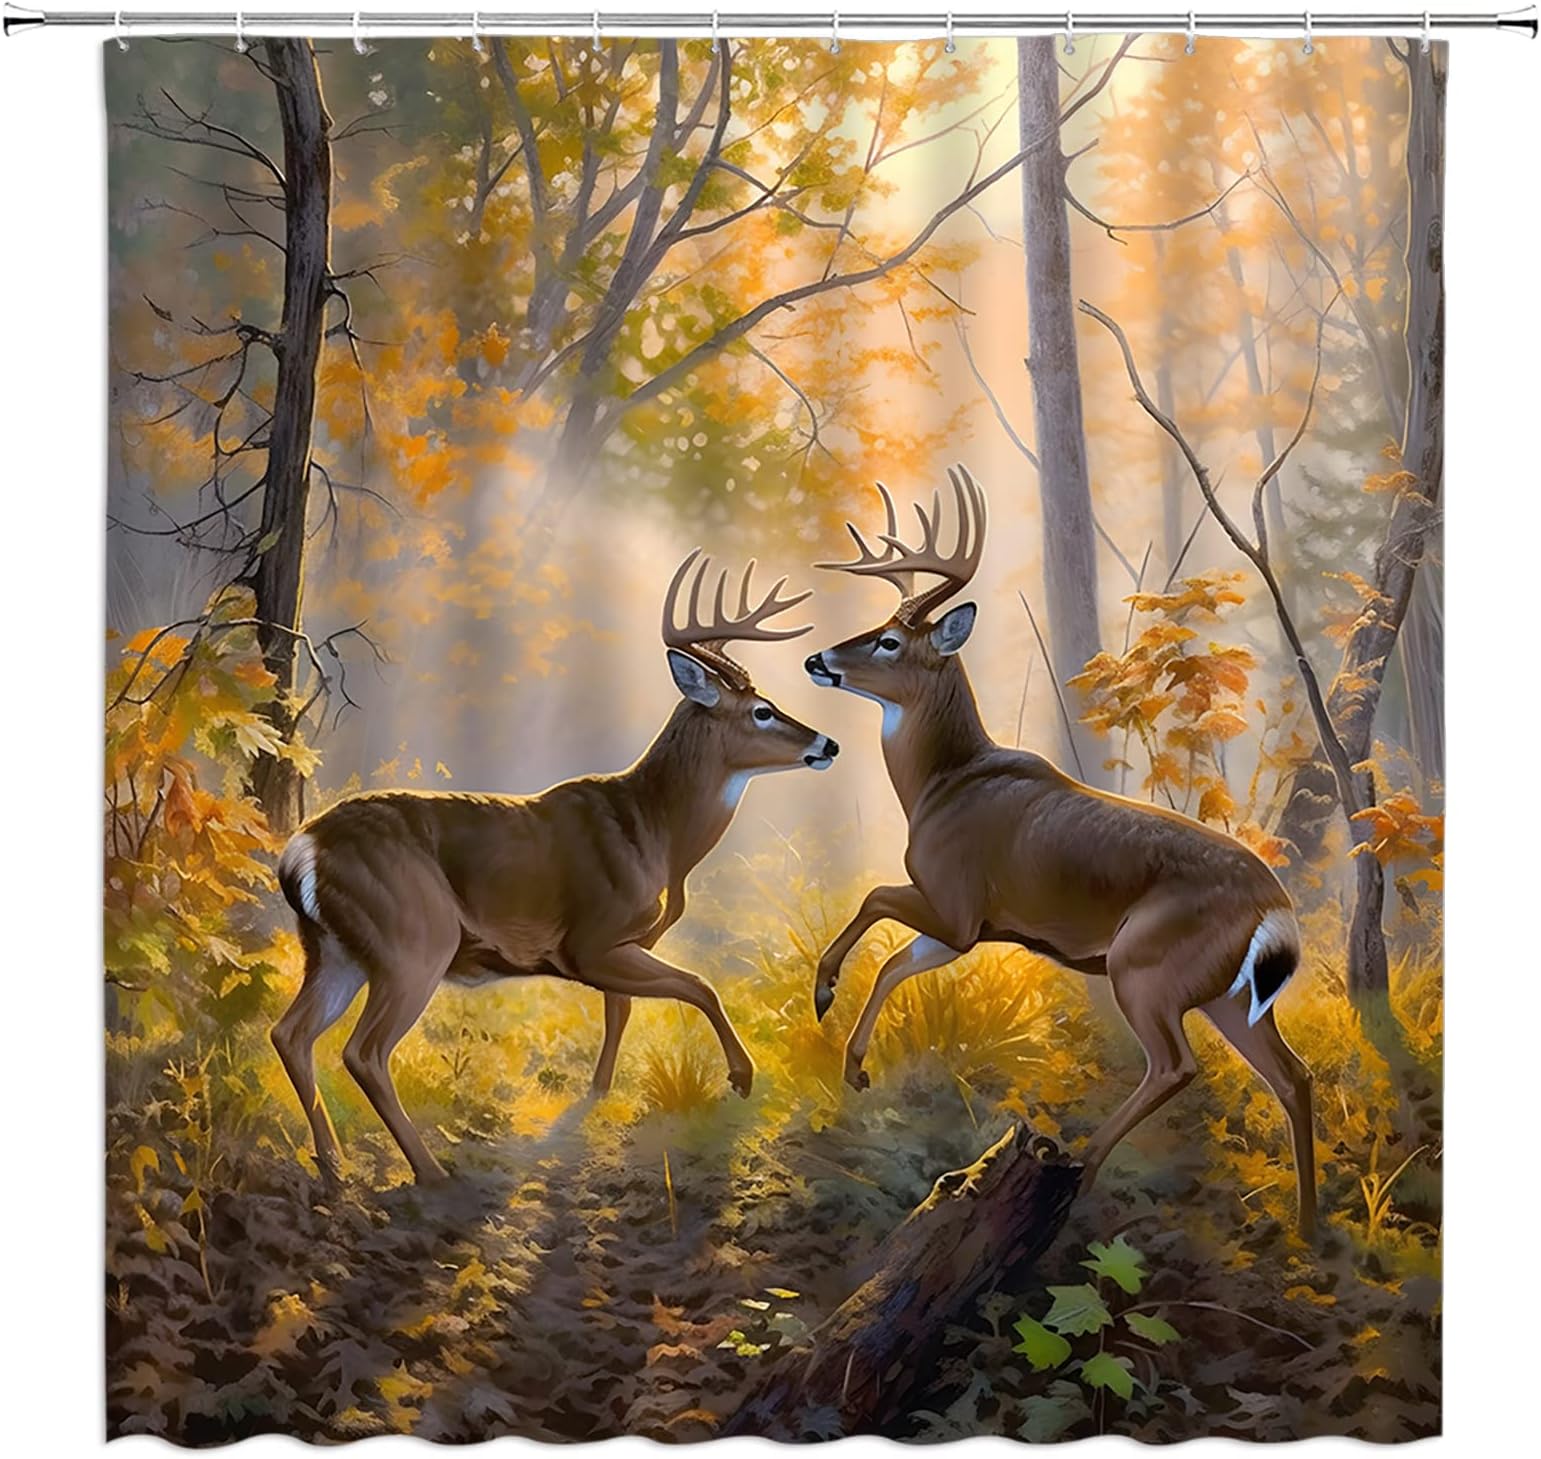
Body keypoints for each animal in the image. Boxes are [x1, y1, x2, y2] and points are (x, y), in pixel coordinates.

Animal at [271, 550, 838, 1187]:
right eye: (762, 711)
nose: (828, 744)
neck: (658, 835)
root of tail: (301, 849)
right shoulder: (587, 942)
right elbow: (699, 985)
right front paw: (741, 1077)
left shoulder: (624, 945)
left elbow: (622, 1009)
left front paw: (597, 1093)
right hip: (413, 939)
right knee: (362, 1051)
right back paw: (428, 1172)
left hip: (334, 949)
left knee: (290, 1033)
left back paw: (333, 1165)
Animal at [803, 466, 1317, 1238]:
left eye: (890, 640)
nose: (817, 659)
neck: (939, 784)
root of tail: (1277, 906)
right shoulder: (965, 929)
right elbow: (896, 961)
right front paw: (856, 1066)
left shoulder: (958, 905)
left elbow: (875, 900)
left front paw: (823, 991)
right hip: (1230, 992)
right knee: (1291, 1073)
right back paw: (1309, 1228)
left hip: (1145, 963)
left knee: (1175, 1064)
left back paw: (1083, 1164)